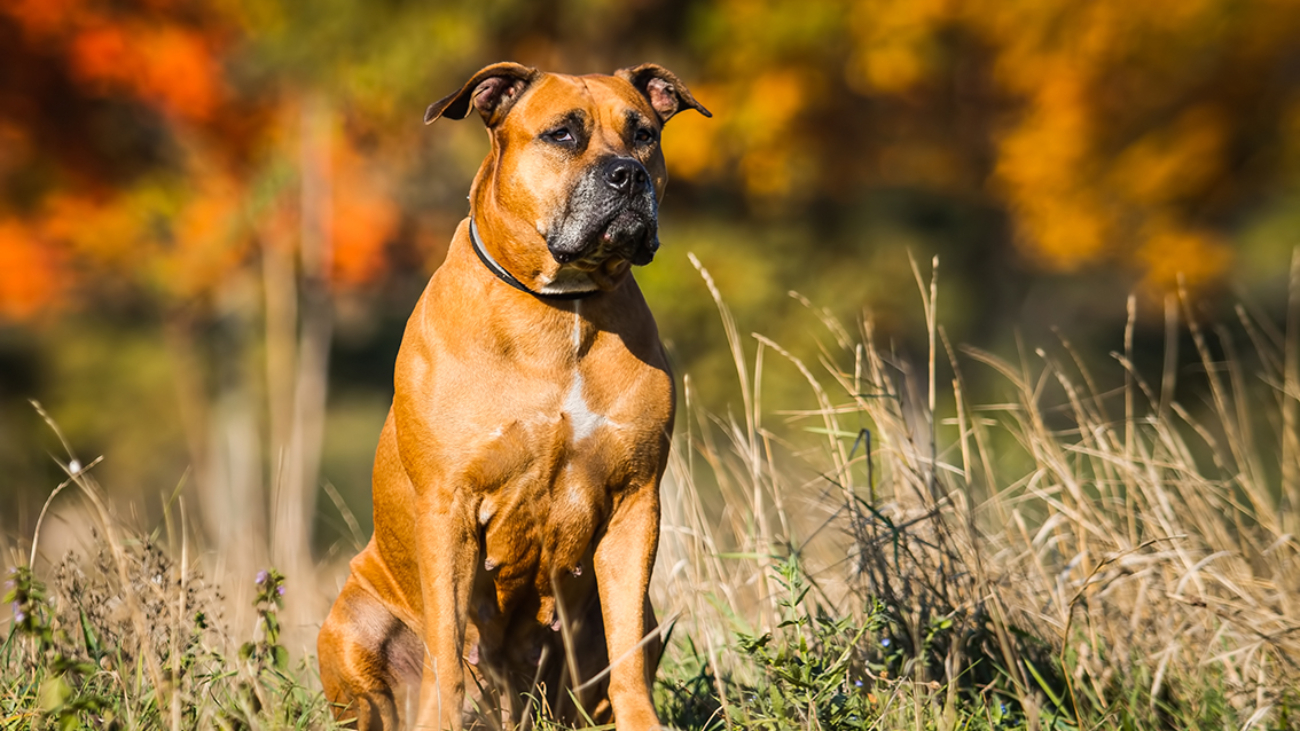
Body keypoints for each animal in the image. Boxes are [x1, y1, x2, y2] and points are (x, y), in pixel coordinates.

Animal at [318, 62, 712, 728]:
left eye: (644, 135)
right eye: (562, 135)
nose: (628, 174)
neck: (557, 309)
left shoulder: (636, 503)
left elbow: (628, 657)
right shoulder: (447, 507)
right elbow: (447, 652)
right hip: (350, 624)